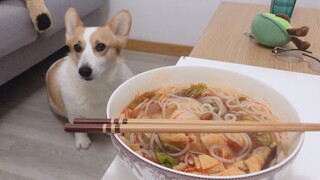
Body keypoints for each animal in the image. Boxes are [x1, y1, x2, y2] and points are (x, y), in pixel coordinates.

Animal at [45, 8, 132, 149]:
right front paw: (82, 141)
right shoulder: (74, 113)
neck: (97, 85)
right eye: (77, 47)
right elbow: (79, 129)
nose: (84, 71)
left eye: (100, 46)